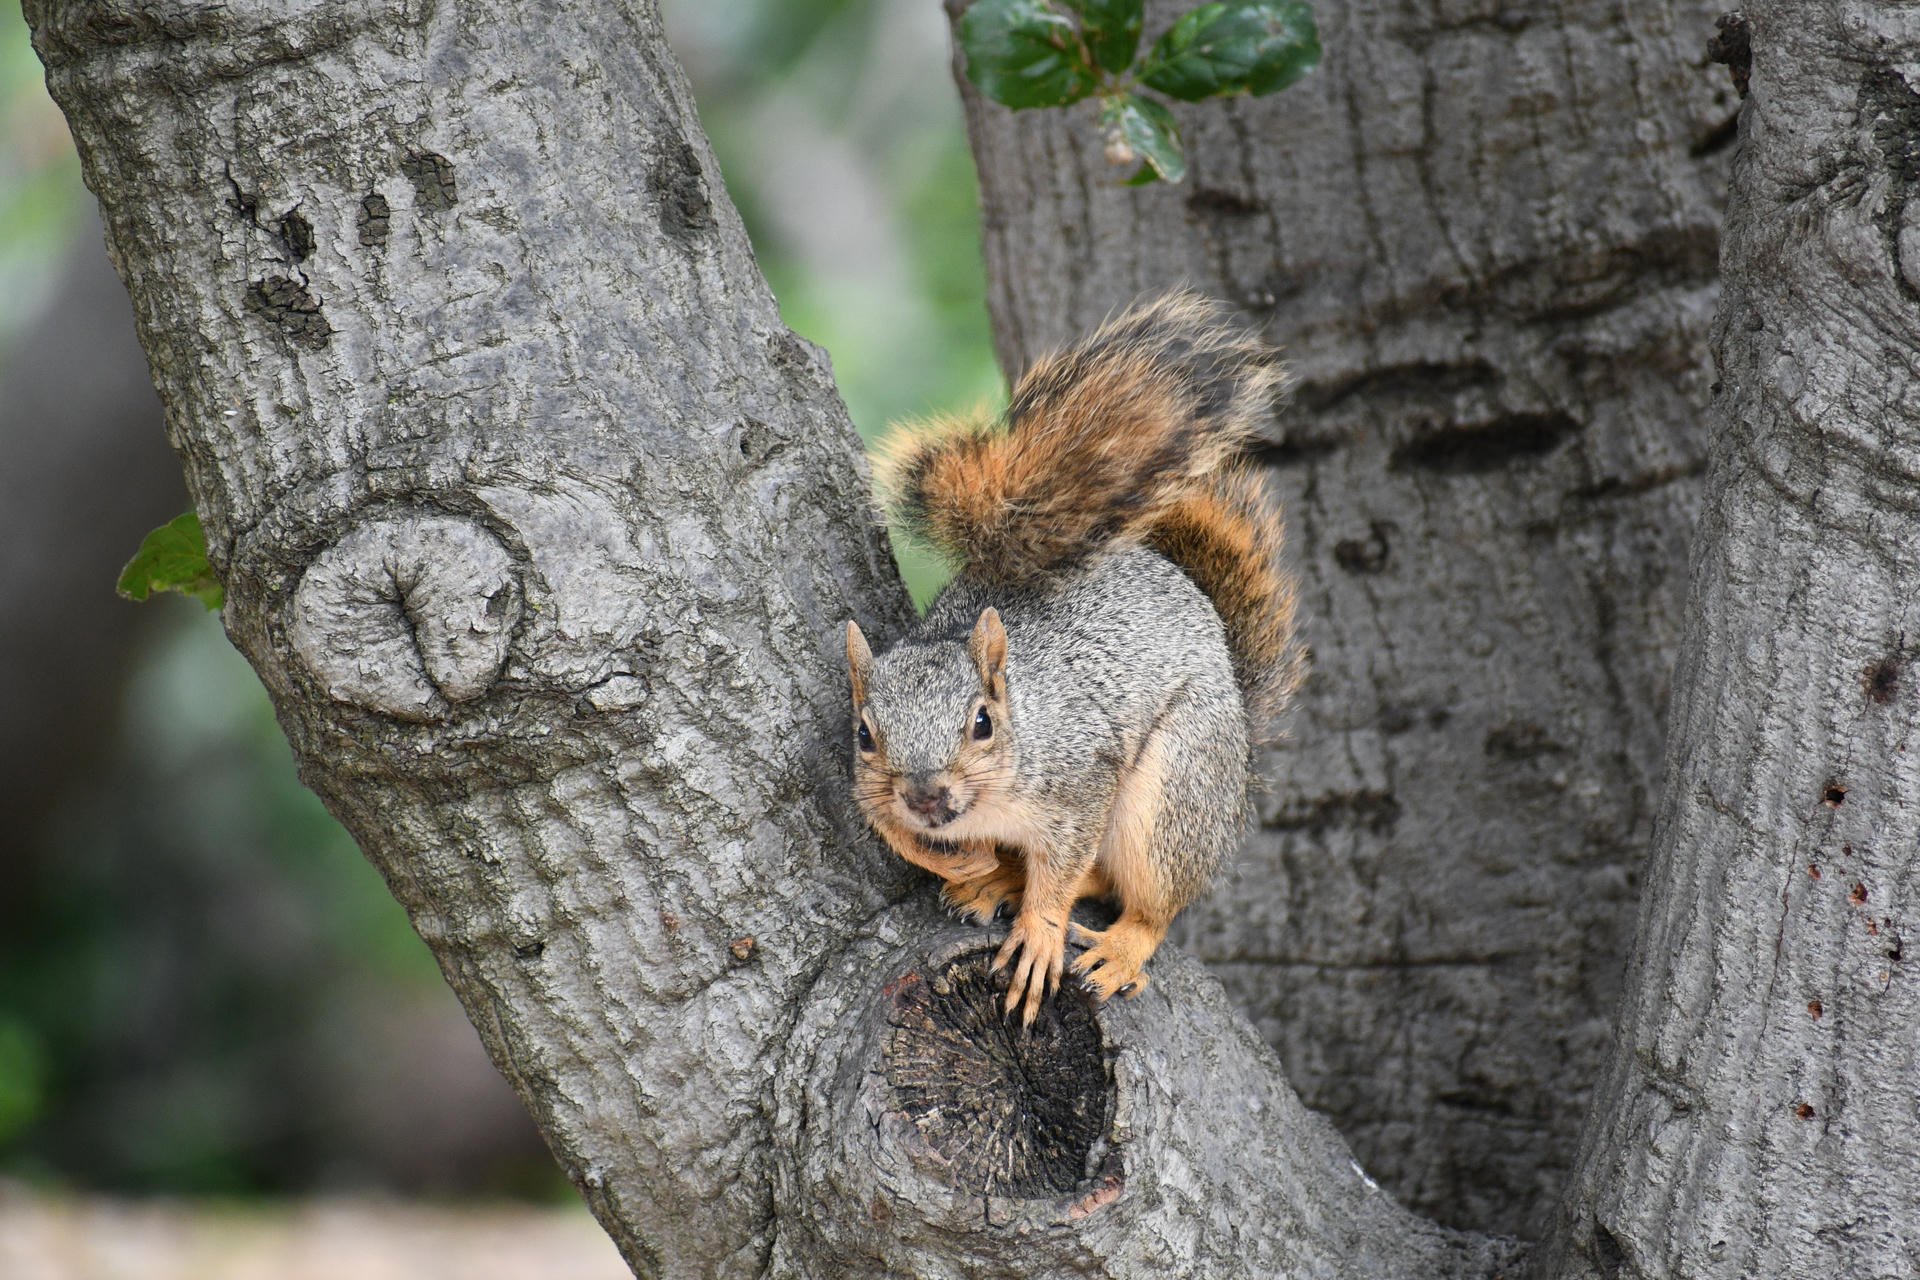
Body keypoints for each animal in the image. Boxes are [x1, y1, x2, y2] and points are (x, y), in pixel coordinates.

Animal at [844, 291, 1302, 1025]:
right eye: (865, 734)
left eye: (982, 723)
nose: (927, 796)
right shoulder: (873, 796)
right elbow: (895, 832)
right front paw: (963, 864)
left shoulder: (1080, 780)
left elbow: (1063, 870)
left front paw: (1039, 931)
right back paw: (997, 877)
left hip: (1177, 787)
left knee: (1146, 892)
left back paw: (1119, 945)